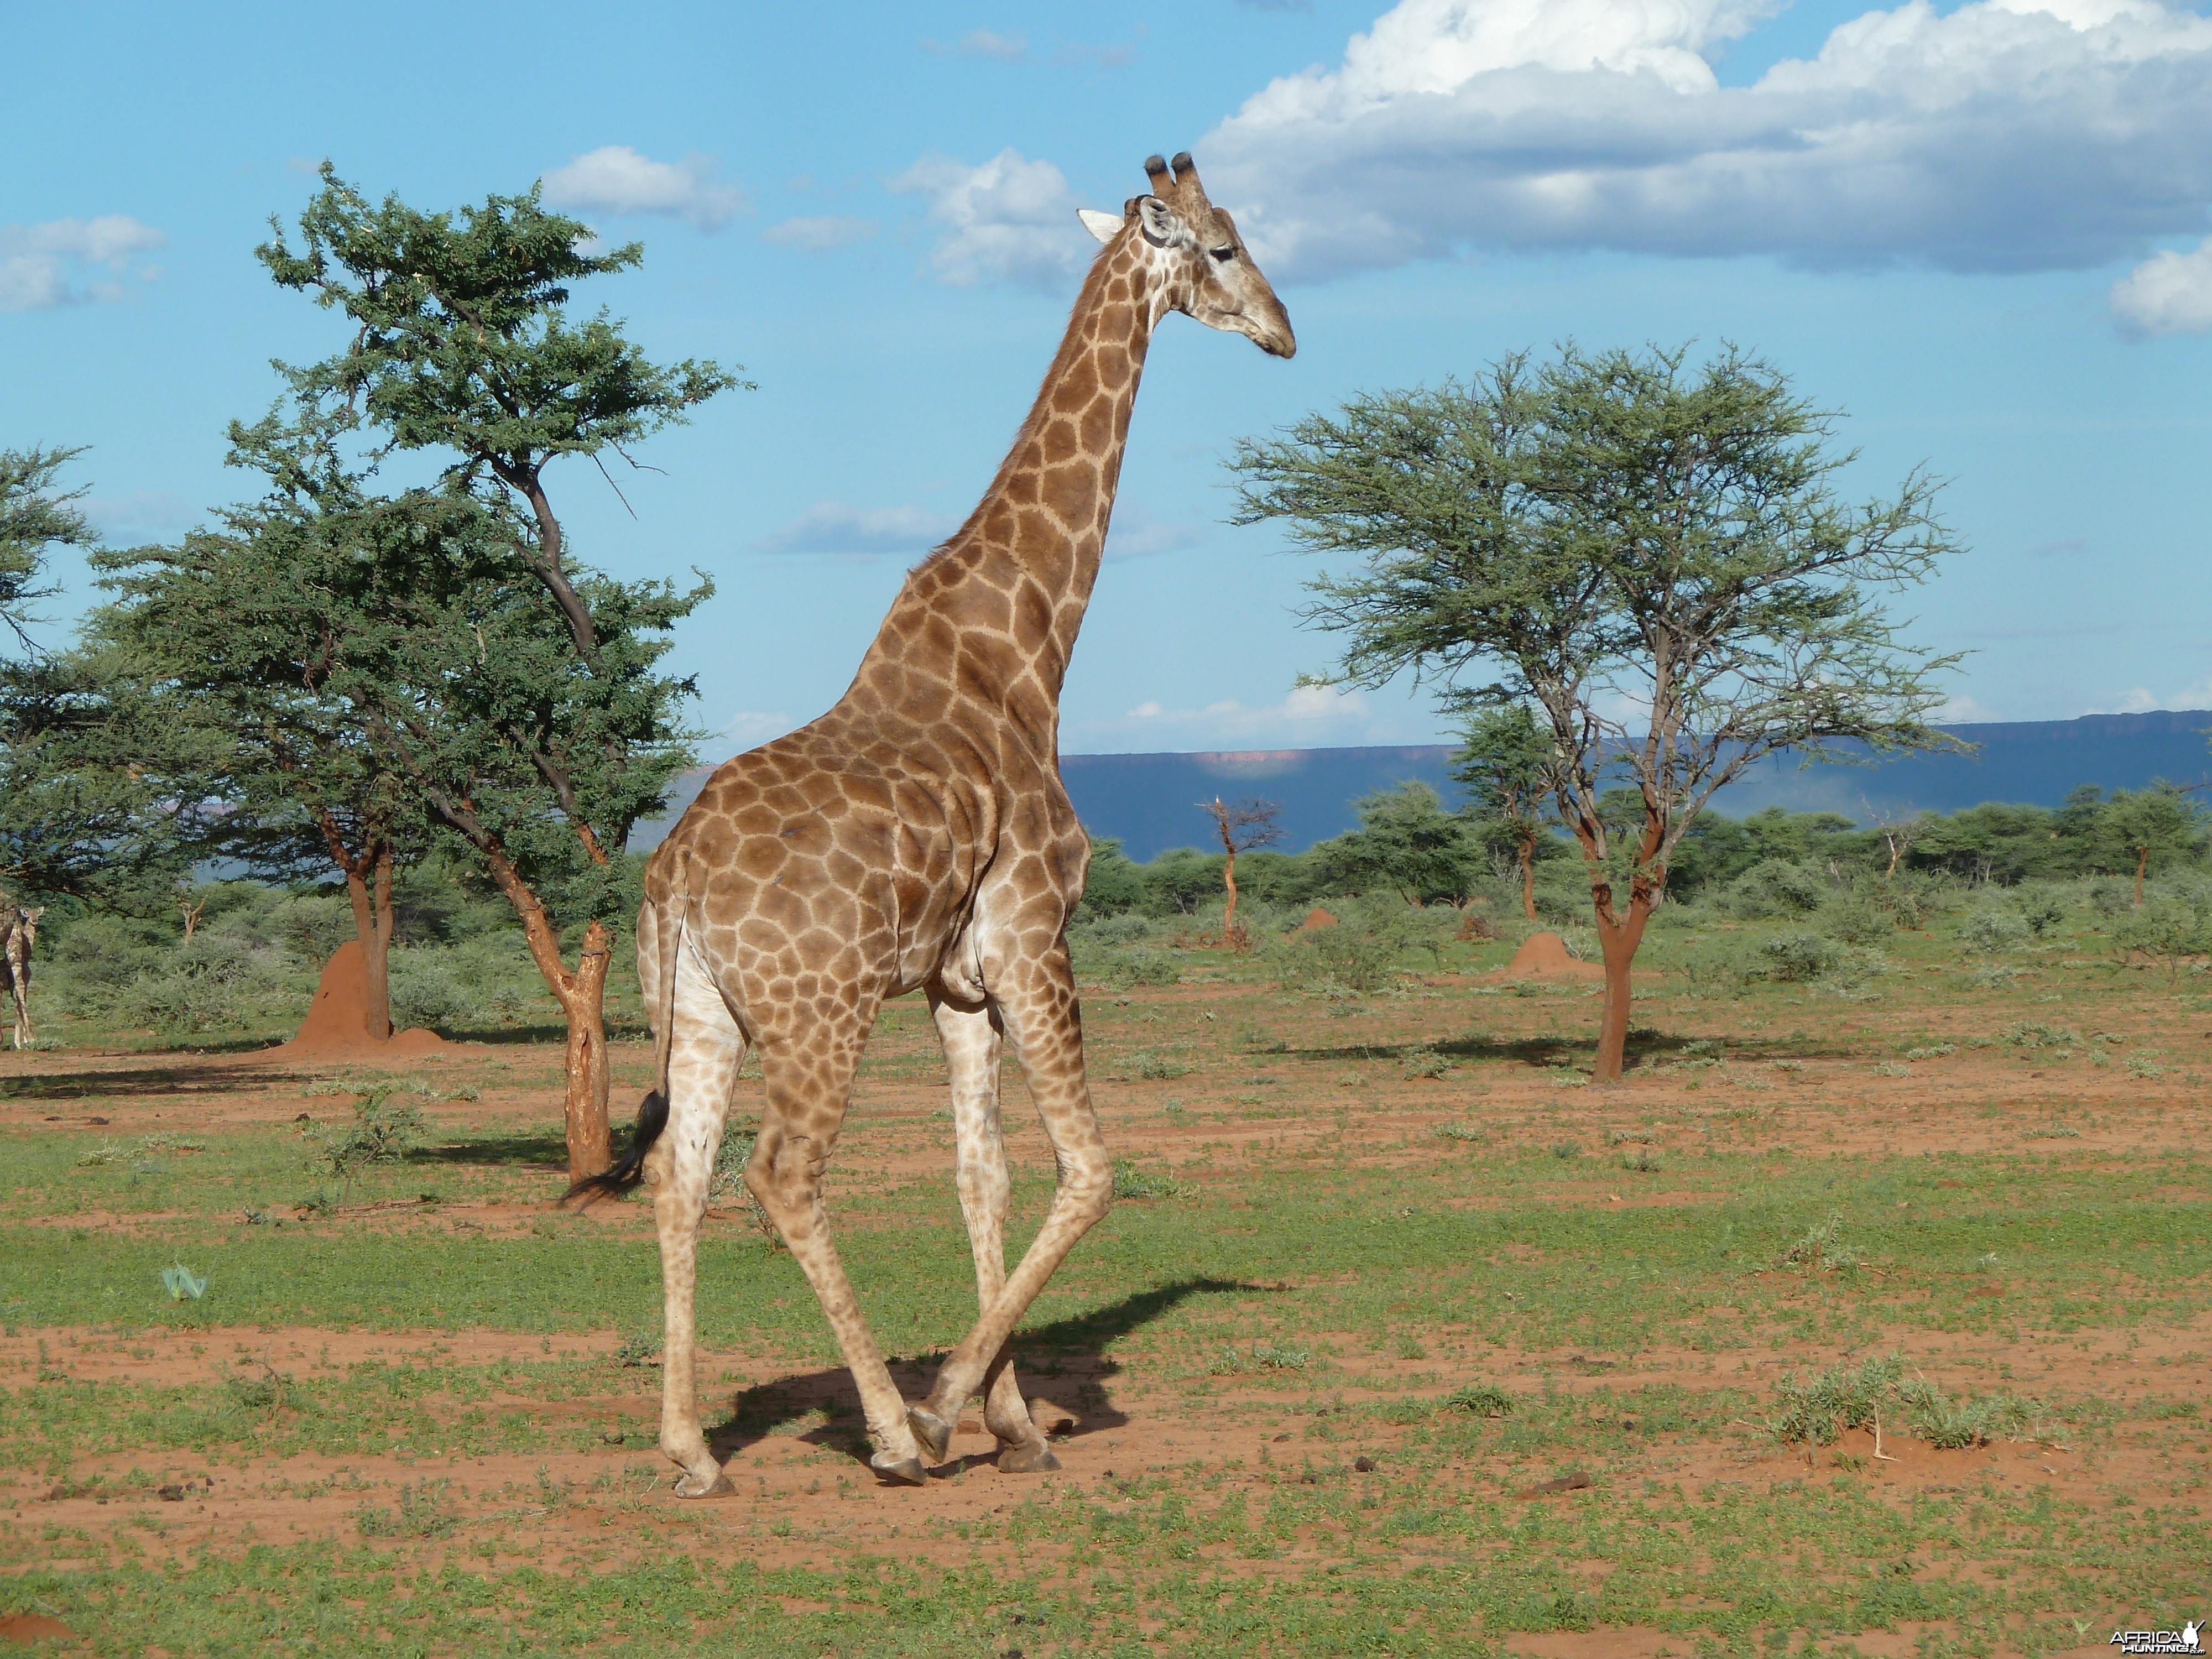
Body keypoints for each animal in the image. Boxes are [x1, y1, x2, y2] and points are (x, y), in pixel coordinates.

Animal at [575, 153, 1292, 1495]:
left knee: (679, 1177)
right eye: (1222, 247)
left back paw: (692, 1449)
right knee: (781, 1174)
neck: (1027, 649)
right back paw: (892, 1436)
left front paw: (1016, 1421)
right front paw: (957, 1402)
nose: (1284, 333)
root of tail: (677, 874)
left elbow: (982, 1176)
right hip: (820, 1009)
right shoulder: (1031, 936)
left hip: (693, 1006)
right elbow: (1090, 1170)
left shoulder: (958, 982)